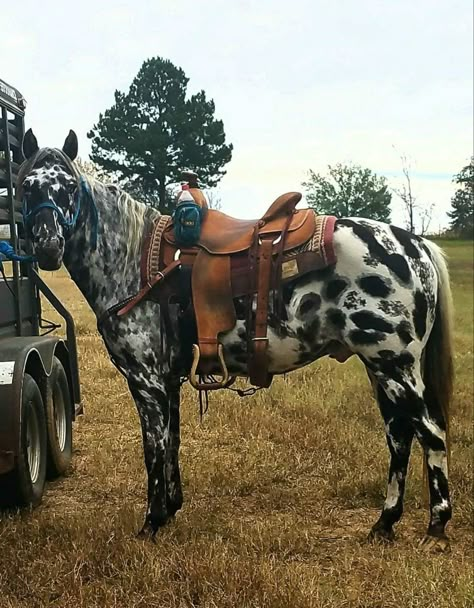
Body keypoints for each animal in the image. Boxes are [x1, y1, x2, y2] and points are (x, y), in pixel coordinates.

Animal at [18, 128, 454, 552]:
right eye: (26, 187)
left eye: (69, 187)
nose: (48, 246)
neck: (136, 264)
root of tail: (415, 245)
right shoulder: (168, 381)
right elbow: (172, 443)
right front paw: (171, 510)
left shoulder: (147, 382)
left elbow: (153, 449)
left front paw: (151, 523)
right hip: (381, 368)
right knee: (399, 436)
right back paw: (384, 523)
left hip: (395, 366)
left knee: (430, 432)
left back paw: (436, 528)